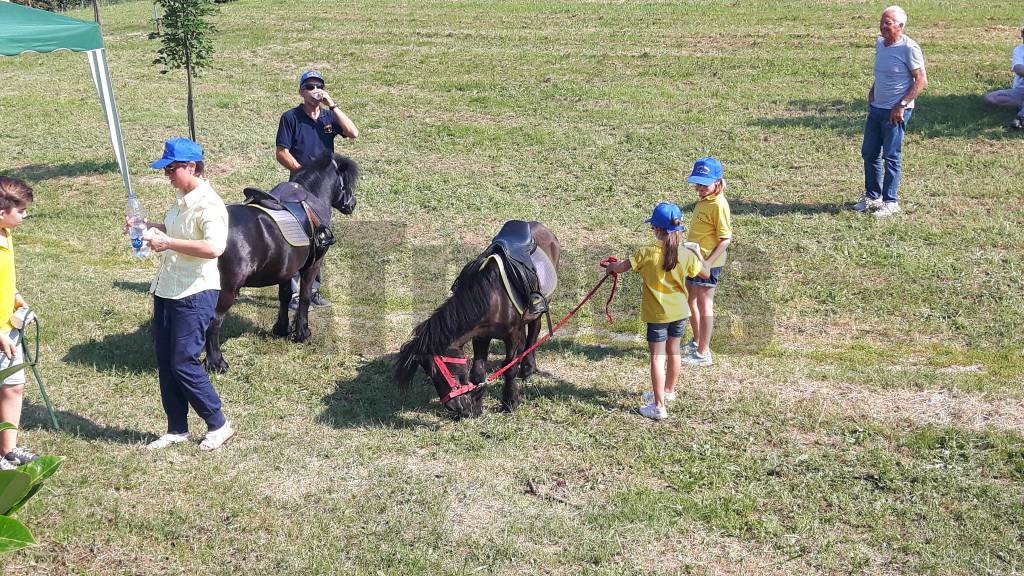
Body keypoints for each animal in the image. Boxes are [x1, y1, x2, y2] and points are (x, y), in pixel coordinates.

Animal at [201, 151, 358, 373]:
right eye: (347, 181)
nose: (352, 204)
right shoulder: (312, 266)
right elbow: (304, 297)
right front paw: (302, 333)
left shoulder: (286, 269)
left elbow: (284, 296)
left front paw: (281, 329)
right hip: (228, 289)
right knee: (214, 322)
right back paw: (217, 362)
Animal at [397, 220, 561, 416]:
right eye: (428, 373)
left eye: (438, 371)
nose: (453, 408)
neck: (494, 299)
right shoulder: (480, 335)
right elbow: (477, 372)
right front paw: (476, 404)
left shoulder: (513, 335)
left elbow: (510, 368)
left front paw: (510, 402)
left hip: (540, 307)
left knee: (534, 332)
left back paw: (528, 369)